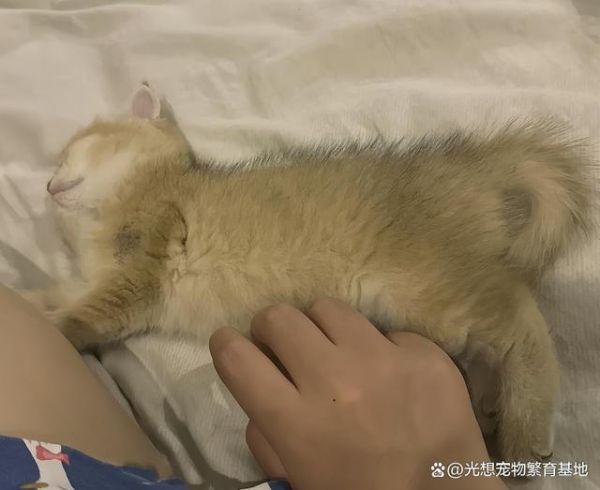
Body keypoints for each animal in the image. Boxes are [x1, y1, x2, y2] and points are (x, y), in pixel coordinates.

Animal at [25, 83, 592, 463]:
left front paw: (49, 332)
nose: (48, 186)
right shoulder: (94, 281)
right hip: (433, 315)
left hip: (431, 293)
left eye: (71, 153)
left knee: (522, 321)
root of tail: (464, 168)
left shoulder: (139, 274)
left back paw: (525, 431)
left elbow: (83, 317)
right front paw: (31, 300)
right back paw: (488, 401)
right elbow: (60, 294)